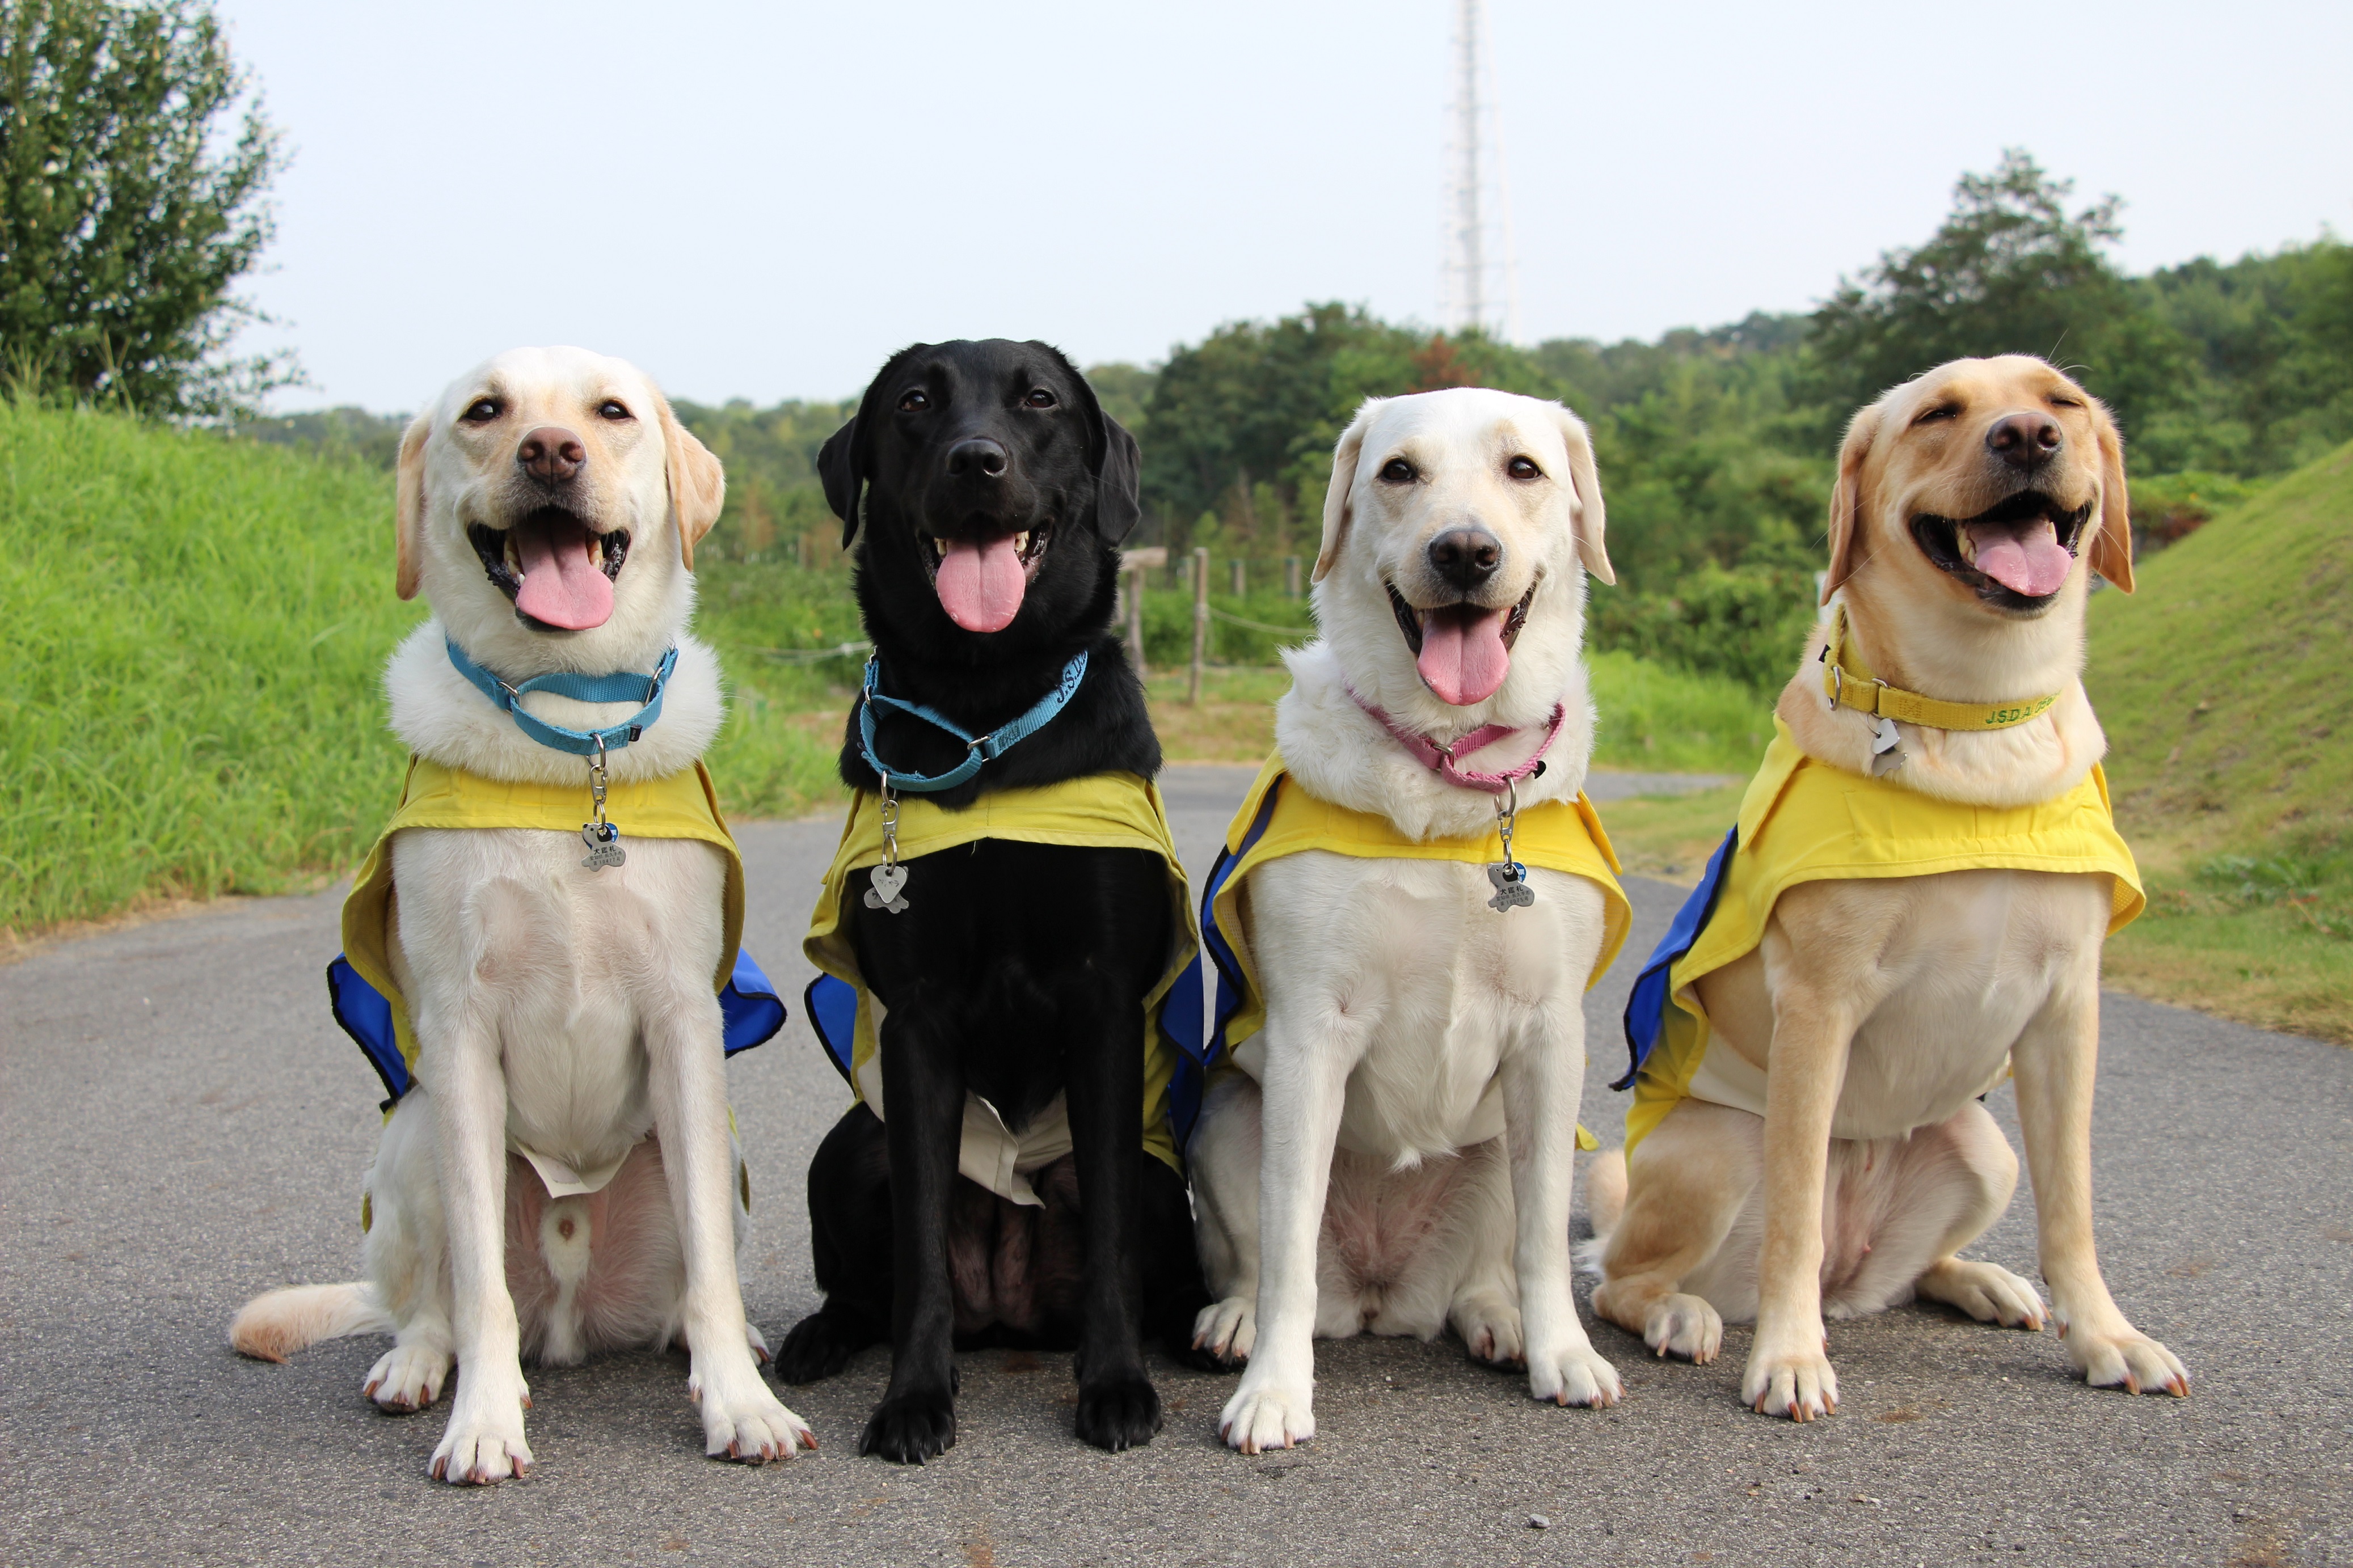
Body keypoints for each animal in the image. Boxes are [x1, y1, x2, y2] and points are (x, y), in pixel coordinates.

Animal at [229, 345, 814, 1485]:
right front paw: (485, 1423)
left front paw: (739, 1405)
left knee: (689, 1286)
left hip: (712, 1157)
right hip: (411, 1137)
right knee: (433, 1303)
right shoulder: (458, 1031)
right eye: (485, 412)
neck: (567, 730)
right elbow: (476, 1293)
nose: (550, 451)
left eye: (612, 412)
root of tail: (573, 1315)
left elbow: (714, 1279)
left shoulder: (684, 1025)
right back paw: (416, 1367)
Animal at [1186, 390, 1628, 1448]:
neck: (1451, 773)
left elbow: (1545, 1238)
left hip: (1501, 1145)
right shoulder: (1310, 1033)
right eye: (1398, 472)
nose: (1463, 551)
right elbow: (1286, 1246)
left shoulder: (1552, 1038)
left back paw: (1499, 1321)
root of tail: (1385, 1294)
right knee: (1259, 1261)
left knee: (1493, 1264)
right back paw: (1235, 1321)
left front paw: (1563, 1354)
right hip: (1225, 1111)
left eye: (1522, 469)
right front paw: (1273, 1390)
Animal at [1581, 354, 2183, 1419]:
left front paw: (2106, 1337)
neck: (1973, 717)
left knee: (1904, 1273)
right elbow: (1792, 1219)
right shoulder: (1818, 1005)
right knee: (1632, 1276)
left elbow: (2072, 1208)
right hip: (1715, 1151)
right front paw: (1788, 1356)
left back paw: (1979, 1281)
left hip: (1981, 1150)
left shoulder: (2068, 1008)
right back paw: (1684, 1314)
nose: (2027, 437)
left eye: (2061, 402)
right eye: (1937, 414)